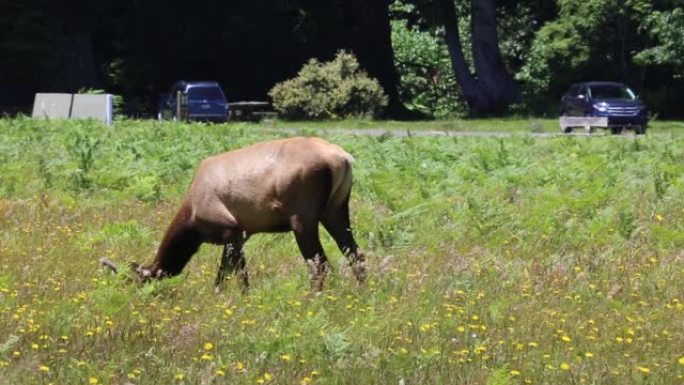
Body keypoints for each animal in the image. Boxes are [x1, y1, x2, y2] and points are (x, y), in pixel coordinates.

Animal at [121, 136, 366, 290]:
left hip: (303, 216)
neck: (192, 221)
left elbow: (240, 275)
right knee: (356, 254)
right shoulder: (240, 234)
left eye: (142, 282)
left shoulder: (230, 228)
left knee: (319, 264)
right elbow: (222, 275)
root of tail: (343, 158)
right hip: (335, 209)